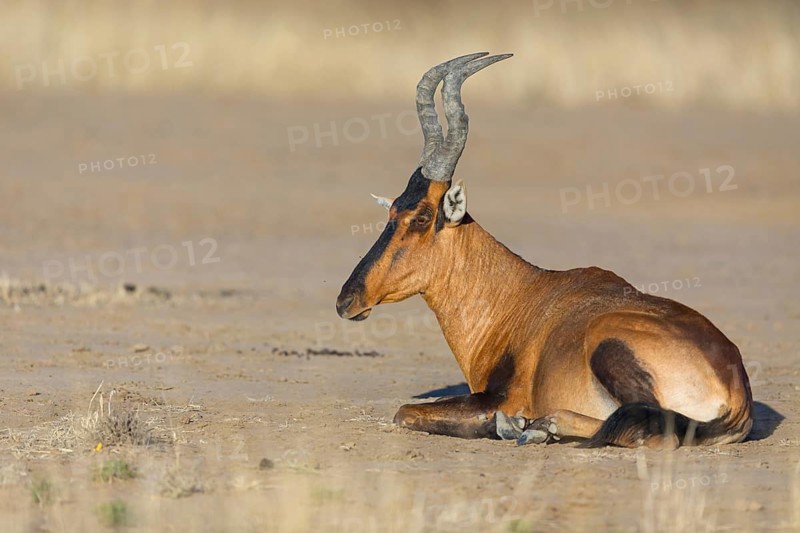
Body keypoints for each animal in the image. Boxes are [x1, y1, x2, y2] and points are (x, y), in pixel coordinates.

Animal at [335, 53, 753, 448]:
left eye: (422, 217)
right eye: (392, 209)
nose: (346, 300)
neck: (521, 297)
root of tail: (737, 391)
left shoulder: (500, 398)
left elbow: (405, 412)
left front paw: (506, 424)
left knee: (648, 431)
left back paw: (530, 428)